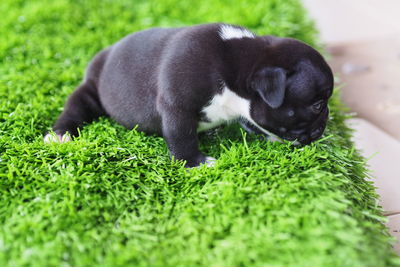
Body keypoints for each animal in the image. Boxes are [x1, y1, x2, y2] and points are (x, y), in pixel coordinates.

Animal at [44, 23, 334, 168]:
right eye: (318, 104)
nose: (325, 123)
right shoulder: (177, 105)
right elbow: (181, 135)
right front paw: (195, 163)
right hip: (90, 89)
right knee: (75, 107)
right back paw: (61, 134)